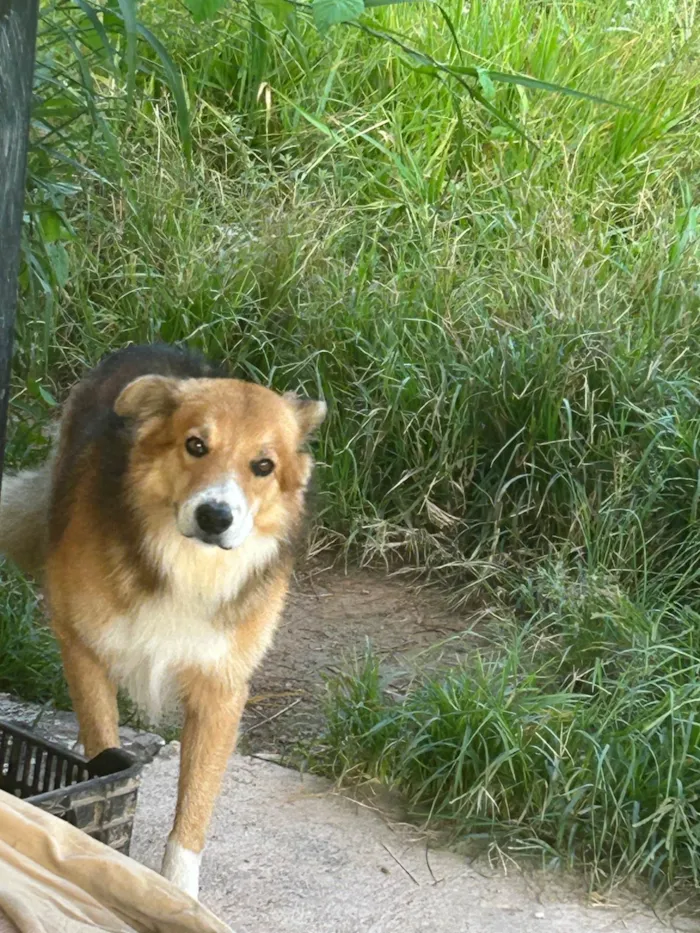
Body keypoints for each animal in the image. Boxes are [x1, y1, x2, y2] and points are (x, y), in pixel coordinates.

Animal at [0, 346, 326, 900]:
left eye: (263, 466)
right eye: (196, 445)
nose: (216, 516)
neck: (185, 566)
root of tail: (155, 347)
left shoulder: (221, 690)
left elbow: (194, 809)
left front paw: (179, 892)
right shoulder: (84, 651)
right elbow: (103, 748)